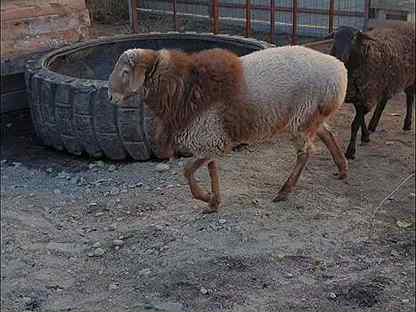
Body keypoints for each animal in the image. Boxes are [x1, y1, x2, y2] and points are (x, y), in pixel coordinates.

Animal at [109, 45, 350, 212]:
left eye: (125, 71)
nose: (110, 97)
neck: (181, 86)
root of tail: (340, 70)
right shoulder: (208, 139)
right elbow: (211, 169)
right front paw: (213, 202)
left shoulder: (209, 137)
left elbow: (187, 170)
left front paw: (205, 197)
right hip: (308, 117)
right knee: (327, 134)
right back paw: (342, 169)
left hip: (303, 116)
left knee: (305, 153)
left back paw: (284, 191)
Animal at [326, 20, 414, 160]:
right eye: (335, 37)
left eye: (354, 38)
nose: (339, 57)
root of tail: (408, 24)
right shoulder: (360, 95)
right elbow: (360, 118)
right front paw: (366, 136)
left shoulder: (366, 94)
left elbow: (355, 124)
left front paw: (350, 151)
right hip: (385, 83)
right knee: (383, 102)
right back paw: (373, 124)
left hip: (409, 78)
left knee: (409, 99)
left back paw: (407, 124)